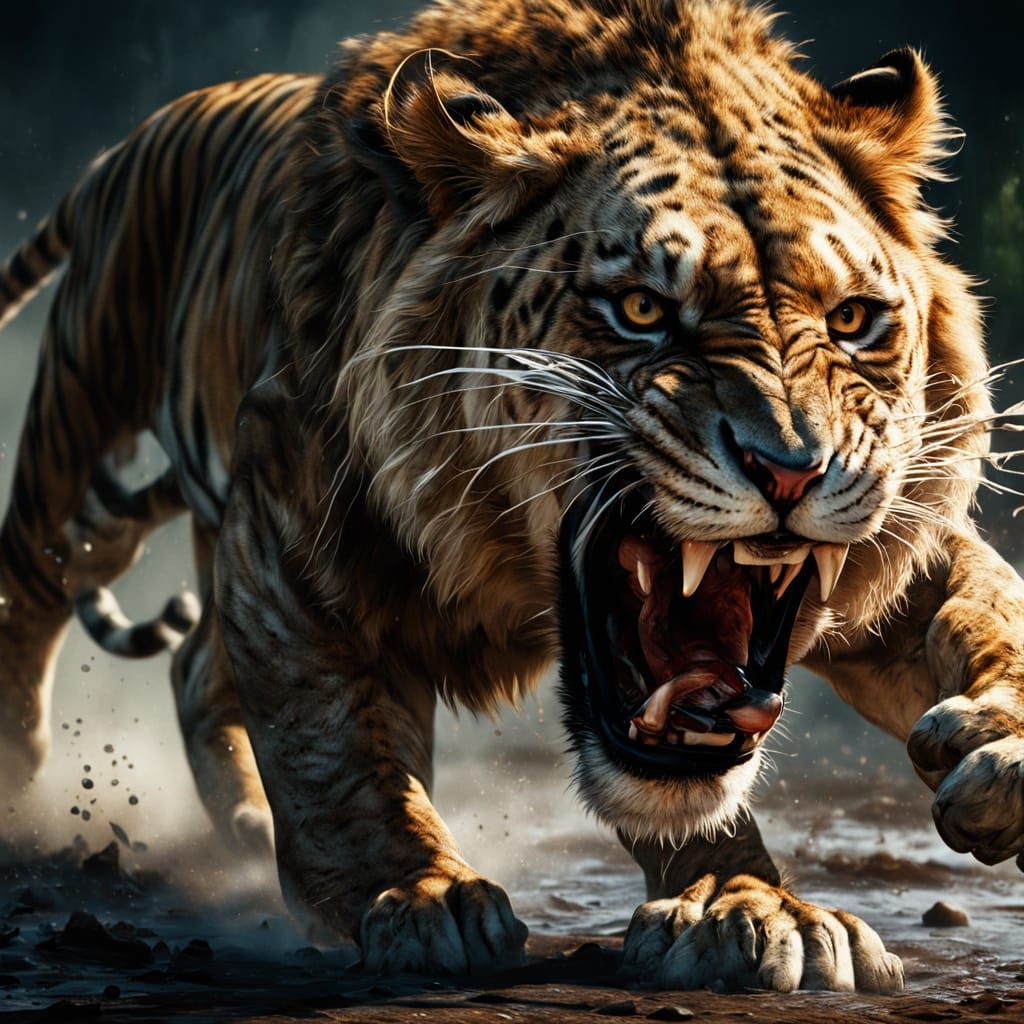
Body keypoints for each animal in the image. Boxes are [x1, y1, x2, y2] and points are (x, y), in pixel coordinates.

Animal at [2, 0, 1023, 993]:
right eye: (642, 310)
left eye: (852, 321)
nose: (792, 468)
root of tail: (131, 143)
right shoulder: (295, 529)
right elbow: (334, 744)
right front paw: (422, 896)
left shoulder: (897, 540)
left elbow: (990, 612)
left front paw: (775, 889)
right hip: (90, 434)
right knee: (37, 579)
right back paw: (20, 788)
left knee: (193, 665)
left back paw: (249, 830)